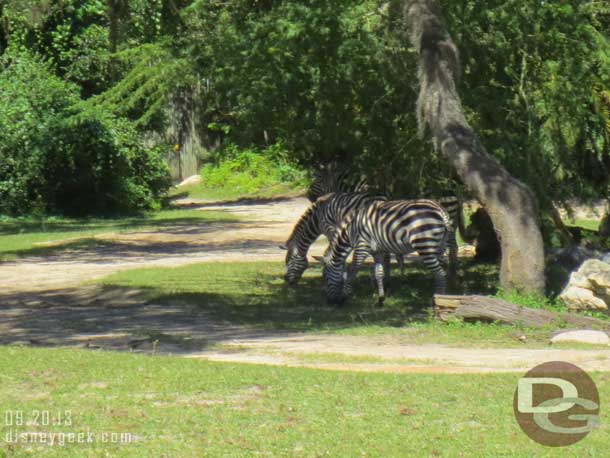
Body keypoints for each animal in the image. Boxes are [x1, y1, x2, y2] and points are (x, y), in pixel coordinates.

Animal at [324, 199, 452, 304]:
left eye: (326, 277)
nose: (329, 301)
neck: (350, 231)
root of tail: (440, 209)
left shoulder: (362, 246)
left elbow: (352, 271)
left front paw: (344, 295)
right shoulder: (377, 251)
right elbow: (379, 273)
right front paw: (381, 298)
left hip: (424, 244)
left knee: (440, 273)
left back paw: (437, 299)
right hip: (440, 246)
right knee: (443, 270)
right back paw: (442, 296)